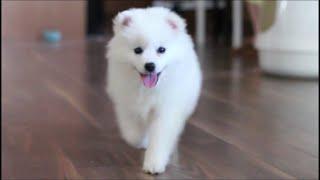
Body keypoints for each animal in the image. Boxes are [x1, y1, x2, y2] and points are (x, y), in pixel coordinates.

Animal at [106, 7, 201, 174]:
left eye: (161, 50)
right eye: (137, 50)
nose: (150, 65)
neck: (147, 89)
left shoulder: (166, 110)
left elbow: (160, 138)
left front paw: (154, 163)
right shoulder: (127, 103)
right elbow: (132, 132)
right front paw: (139, 140)